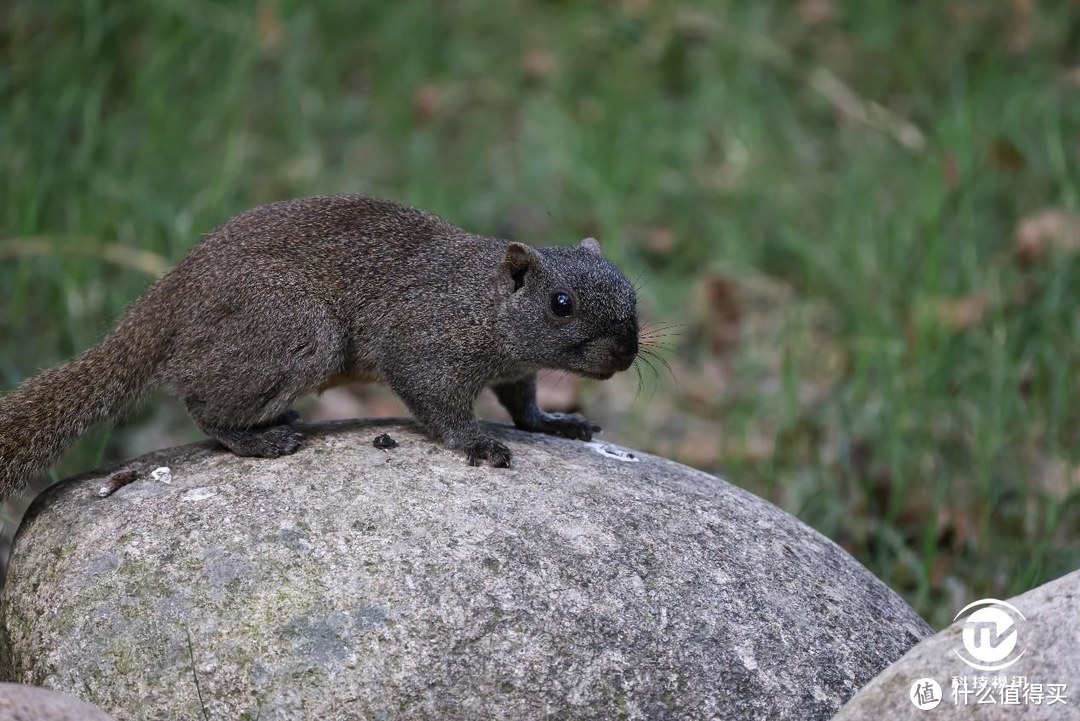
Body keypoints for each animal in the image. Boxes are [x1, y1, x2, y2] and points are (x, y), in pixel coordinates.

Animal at [0, 194, 639, 505]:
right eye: (561, 303)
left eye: (632, 292)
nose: (627, 352)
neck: (483, 301)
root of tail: (171, 296)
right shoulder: (423, 342)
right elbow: (435, 400)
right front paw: (477, 443)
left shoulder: (514, 369)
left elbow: (522, 403)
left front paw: (555, 422)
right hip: (299, 331)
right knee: (203, 403)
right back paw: (259, 439)